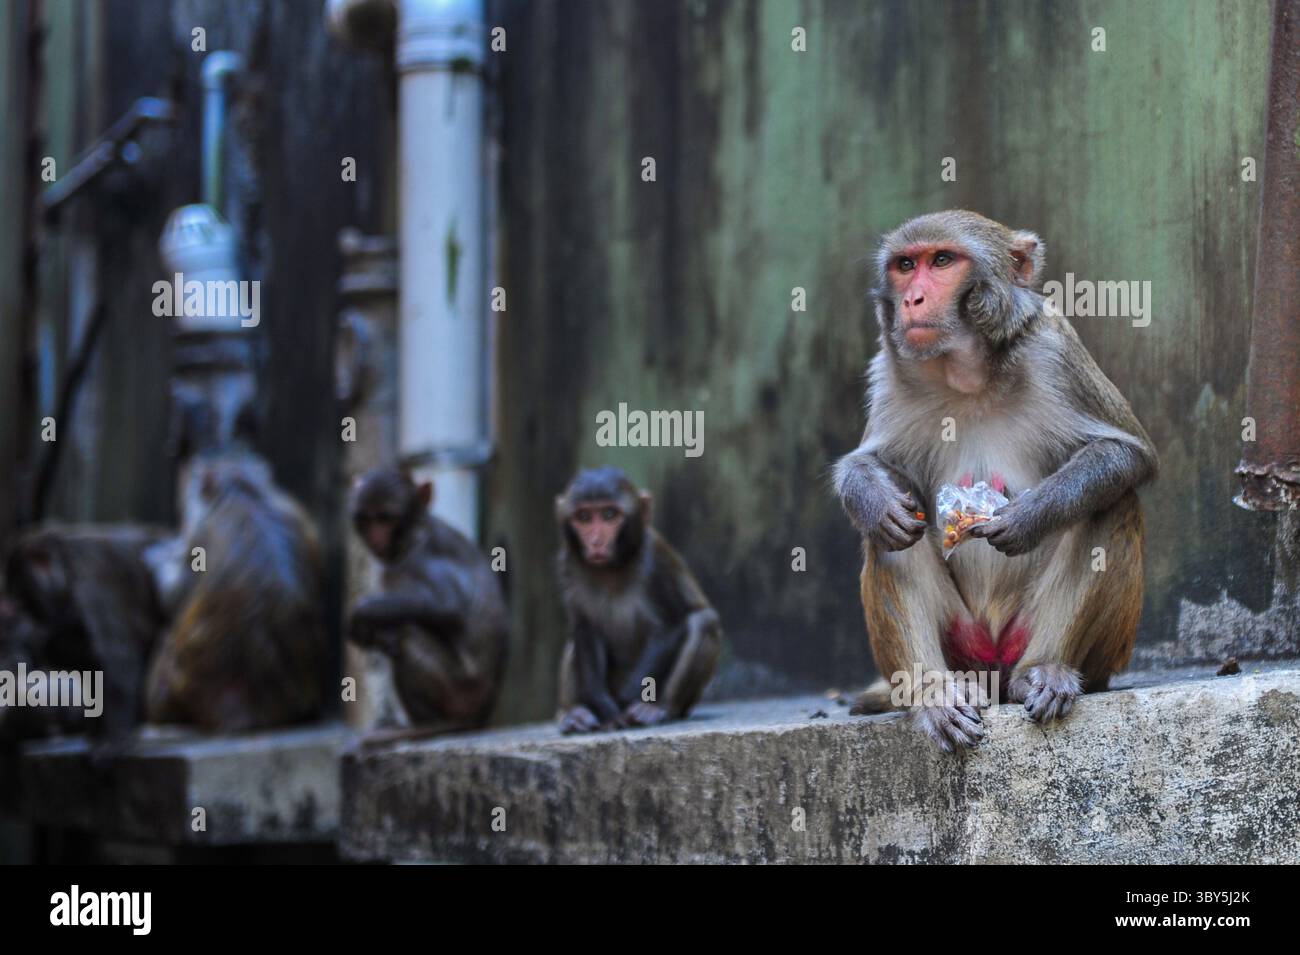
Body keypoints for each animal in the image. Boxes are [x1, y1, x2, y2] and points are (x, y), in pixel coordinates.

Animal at [346, 467, 507, 735]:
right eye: (366, 518)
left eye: (386, 518)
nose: (376, 537)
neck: (412, 536)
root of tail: (483, 713)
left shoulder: (422, 560)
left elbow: (450, 607)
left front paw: (363, 612)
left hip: (459, 691)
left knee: (405, 633)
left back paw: (428, 723)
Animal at [554, 467, 721, 734]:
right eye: (584, 516)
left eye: (609, 514)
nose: (595, 542)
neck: (613, 567)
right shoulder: (567, 564)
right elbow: (586, 630)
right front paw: (605, 708)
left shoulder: (655, 560)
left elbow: (670, 627)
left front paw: (627, 702)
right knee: (573, 642)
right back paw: (573, 713)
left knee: (703, 621)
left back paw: (658, 708)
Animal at [833, 210, 1157, 751]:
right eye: (906, 265)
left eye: (943, 261)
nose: (911, 299)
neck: (967, 374)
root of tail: (993, 667)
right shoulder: (889, 372)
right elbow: (870, 467)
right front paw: (874, 500)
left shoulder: (1054, 349)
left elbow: (1128, 454)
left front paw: (1029, 517)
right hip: (963, 641)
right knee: (891, 539)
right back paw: (935, 691)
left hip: (1072, 651)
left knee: (1114, 503)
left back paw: (1043, 671)